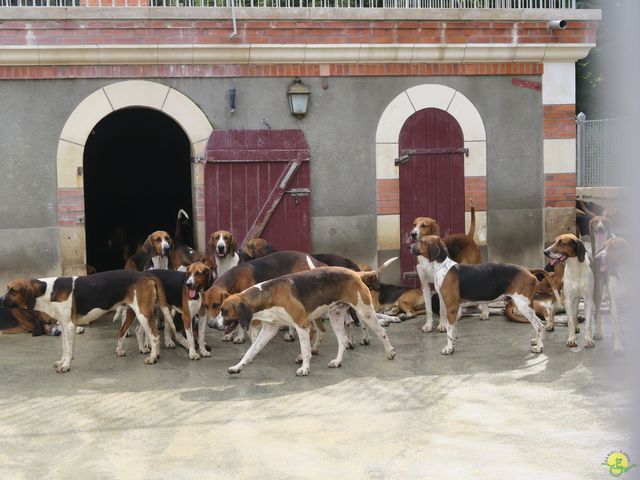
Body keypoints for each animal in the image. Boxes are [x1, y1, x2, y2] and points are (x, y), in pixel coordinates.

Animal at [0, 270, 172, 372]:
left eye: (13, 290)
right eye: (7, 288)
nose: (0, 300)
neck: (48, 291)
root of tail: (146, 275)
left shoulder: (70, 325)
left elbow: (69, 349)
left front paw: (66, 365)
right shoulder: (63, 325)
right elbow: (65, 348)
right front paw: (62, 361)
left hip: (143, 313)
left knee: (155, 336)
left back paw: (153, 358)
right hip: (133, 311)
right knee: (123, 331)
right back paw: (122, 351)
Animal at [209, 266, 396, 376]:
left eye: (224, 311)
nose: (212, 324)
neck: (267, 296)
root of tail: (355, 273)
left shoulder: (302, 325)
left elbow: (305, 350)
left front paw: (305, 368)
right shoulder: (269, 329)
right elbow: (251, 351)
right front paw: (238, 366)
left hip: (365, 312)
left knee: (382, 333)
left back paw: (390, 352)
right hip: (335, 315)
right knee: (343, 340)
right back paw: (337, 362)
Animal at [408, 206, 488, 334]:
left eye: (424, 225)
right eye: (414, 224)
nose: (413, 234)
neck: (427, 257)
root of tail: (468, 237)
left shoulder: (441, 285)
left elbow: (442, 309)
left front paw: (442, 325)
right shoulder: (425, 285)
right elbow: (428, 309)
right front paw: (428, 325)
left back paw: (485, 313)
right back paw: (458, 315)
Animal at [412, 237, 548, 356]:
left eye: (421, 241)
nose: (410, 246)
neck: (442, 266)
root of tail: (528, 271)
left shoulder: (451, 308)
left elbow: (449, 331)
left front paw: (448, 349)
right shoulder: (454, 310)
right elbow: (454, 330)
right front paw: (453, 346)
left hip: (523, 306)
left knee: (539, 325)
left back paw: (539, 347)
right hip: (525, 306)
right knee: (540, 323)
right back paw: (536, 340)